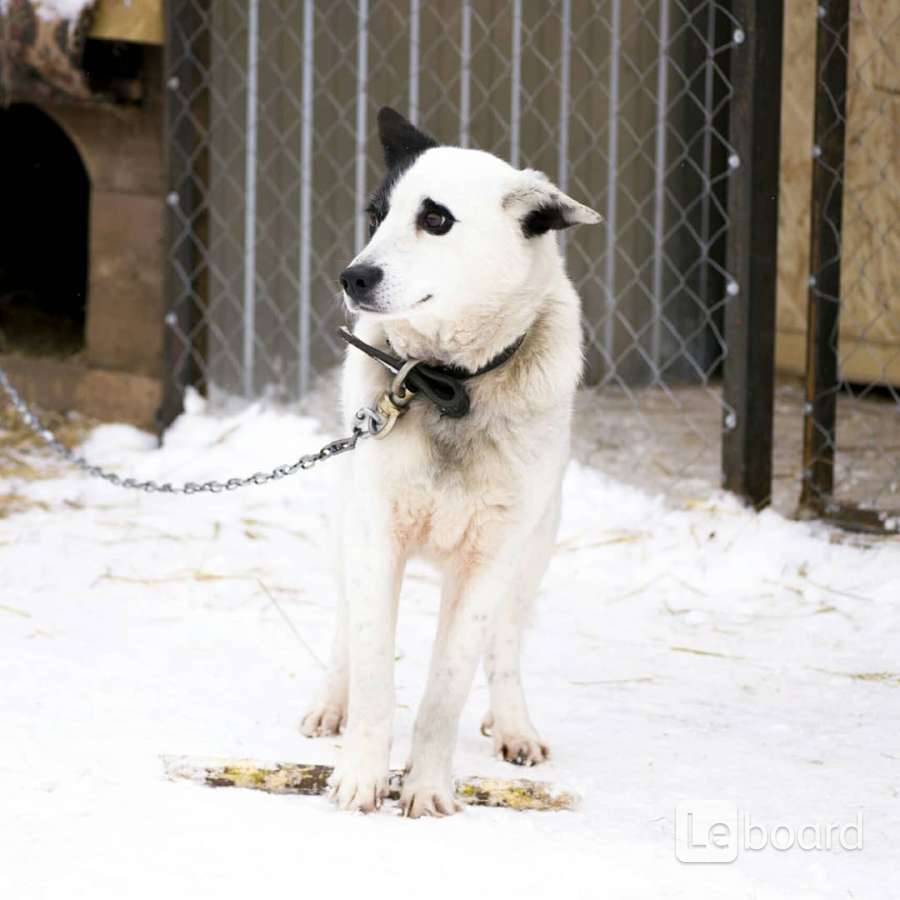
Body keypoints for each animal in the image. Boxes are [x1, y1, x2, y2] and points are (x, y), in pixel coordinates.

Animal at [298, 105, 600, 816]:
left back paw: (514, 724)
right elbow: (375, 672)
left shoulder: (489, 559)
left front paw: (428, 787)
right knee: (346, 633)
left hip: (530, 555)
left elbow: (448, 684)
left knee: (506, 647)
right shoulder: (376, 539)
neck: (446, 384)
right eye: (375, 213)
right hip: (348, 530)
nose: (352, 277)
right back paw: (330, 705)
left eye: (435, 218)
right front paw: (361, 777)